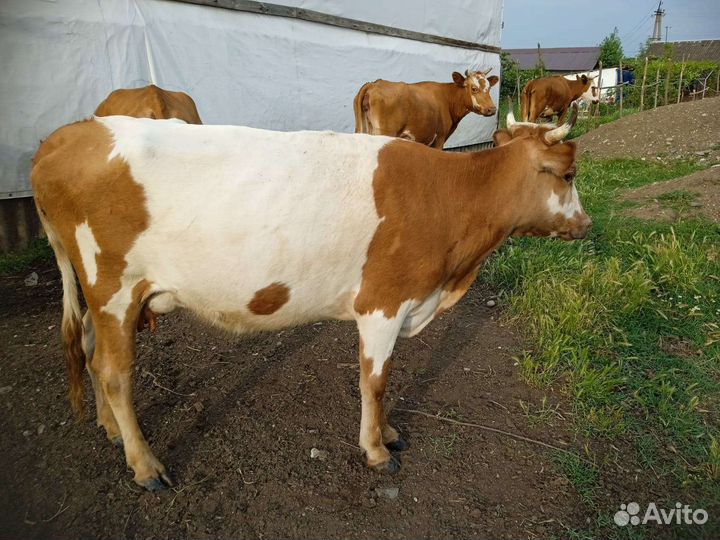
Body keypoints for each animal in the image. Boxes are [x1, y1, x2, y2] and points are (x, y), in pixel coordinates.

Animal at [31, 105, 589, 490]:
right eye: (568, 175)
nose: (585, 224)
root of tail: (66, 136)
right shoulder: (383, 303)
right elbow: (376, 381)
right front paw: (376, 449)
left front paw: (388, 433)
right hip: (114, 286)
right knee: (113, 372)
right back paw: (144, 464)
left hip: (98, 292)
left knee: (90, 351)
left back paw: (110, 430)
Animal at [353, 69, 499, 148]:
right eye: (474, 89)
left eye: (489, 88)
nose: (492, 109)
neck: (447, 98)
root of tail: (373, 84)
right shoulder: (440, 138)